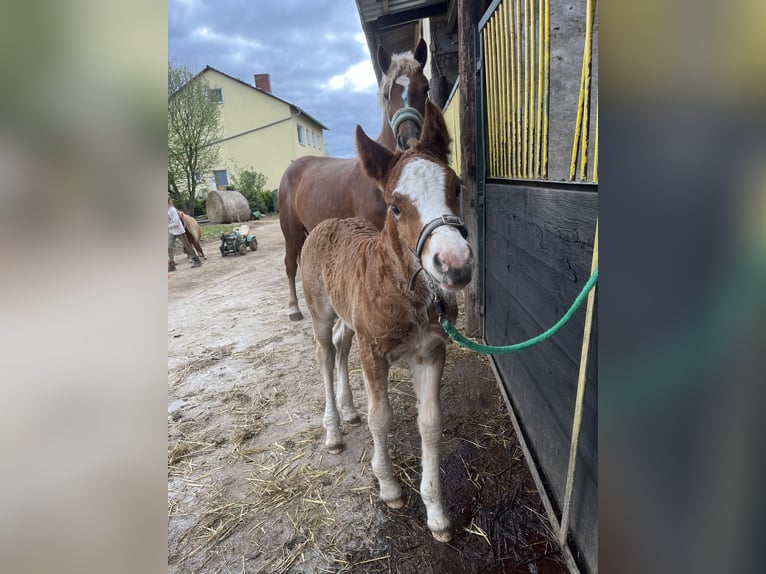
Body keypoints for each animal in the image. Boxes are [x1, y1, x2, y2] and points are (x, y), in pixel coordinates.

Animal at [280, 38, 432, 322]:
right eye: (387, 94)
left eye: (425, 89)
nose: (408, 141)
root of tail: (294, 167)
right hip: (291, 231)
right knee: (289, 264)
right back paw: (294, 308)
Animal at [302, 101, 474, 548]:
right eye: (395, 206)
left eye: (457, 187)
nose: (454, 264)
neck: (409, 294)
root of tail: (327, 223)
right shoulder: (374, 351)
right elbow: (382, 417)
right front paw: (391, 489)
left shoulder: (431, 352)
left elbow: (430, 423)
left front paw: (436, 515)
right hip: (321, 312)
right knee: (324, 355)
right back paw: (333, 431)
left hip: (350, 320)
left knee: (341, 347)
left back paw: (348, 410)